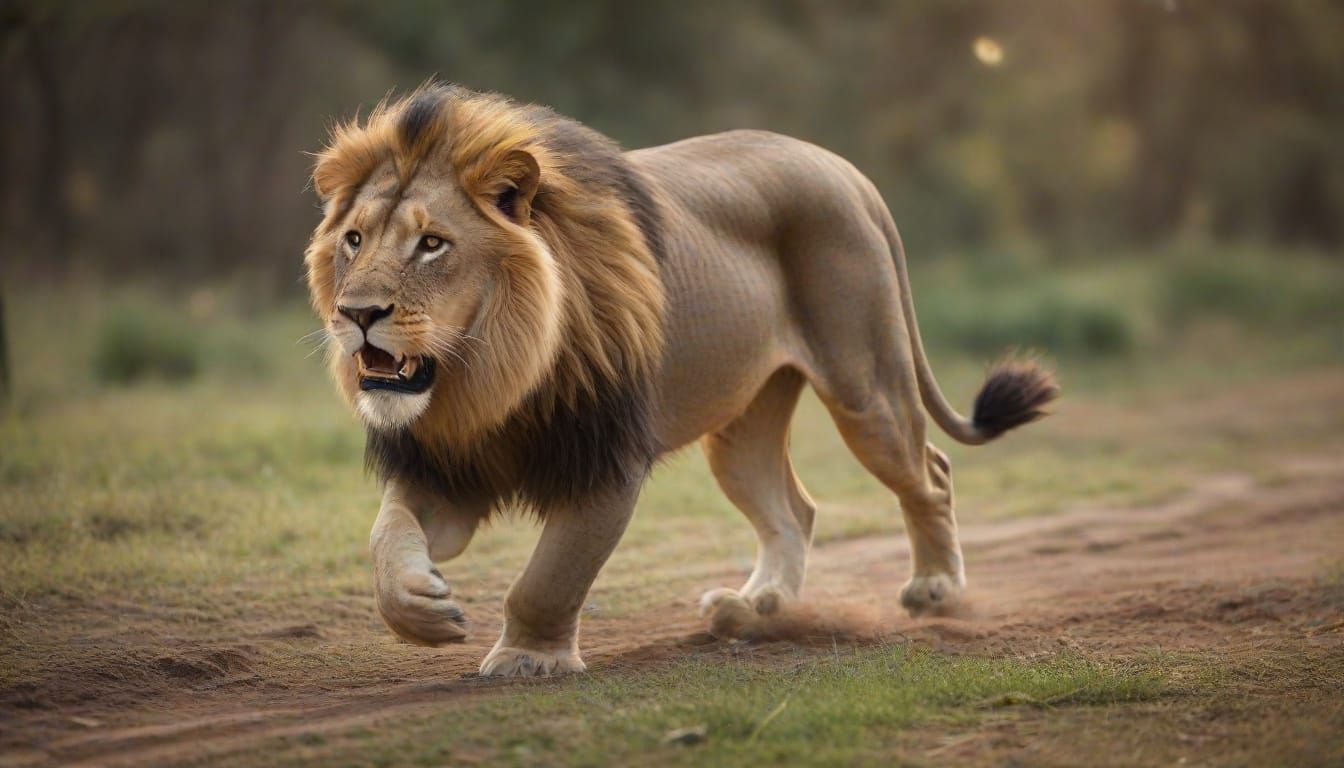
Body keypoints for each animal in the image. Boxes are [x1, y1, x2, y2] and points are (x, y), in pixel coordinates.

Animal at [304, 83, 1058, 677]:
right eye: (354, 240)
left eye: (432, 244)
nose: (357, 314)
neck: (492, 377)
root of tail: (846, 171)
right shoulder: (446, 466)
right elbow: (386, 536)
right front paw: (422, 607)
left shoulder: (607, 463)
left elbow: (550, 577)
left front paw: (527, 658)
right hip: (742, 426)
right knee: (795, 509)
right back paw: (756, 608)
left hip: (865, 385)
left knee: (929, 472)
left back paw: (936, 588)